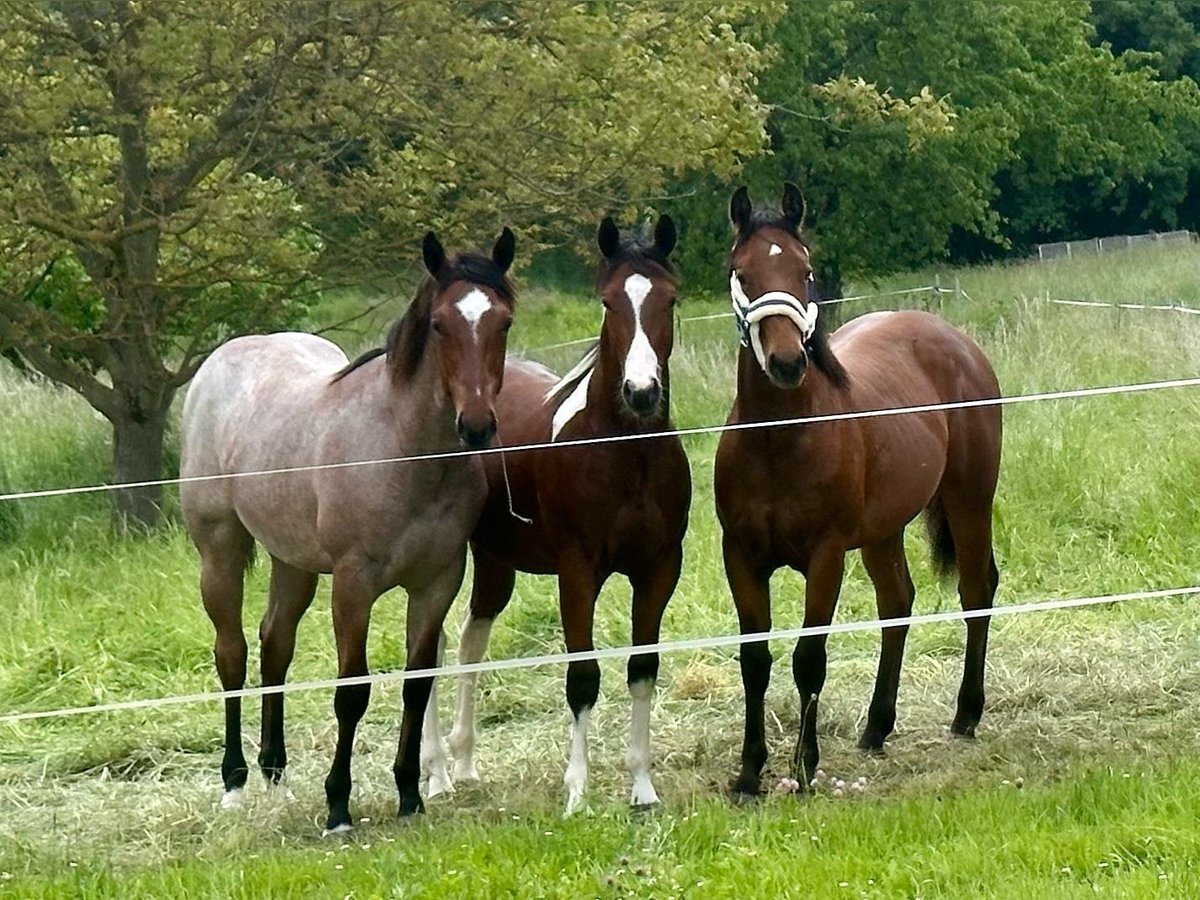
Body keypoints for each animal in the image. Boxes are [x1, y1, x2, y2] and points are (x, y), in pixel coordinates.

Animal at [180, 228, 517, 833]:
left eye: (502, 322)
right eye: (440, 325)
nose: (477, 426)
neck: (404, 451)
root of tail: (222, 360)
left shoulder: (436, 583)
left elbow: (416, 685)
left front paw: (410, 794)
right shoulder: (353, 586)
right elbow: (351, 692)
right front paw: (338, 804)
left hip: (292, 561)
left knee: (275, 644)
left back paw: (274, 772)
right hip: (219, 550)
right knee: (232, 653)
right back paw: (235, 783)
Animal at [420, 216, 691, 814]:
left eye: (670, 298)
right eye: (609, 301)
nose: (641, 392)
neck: (623, 453)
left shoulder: (659, 570)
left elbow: (643, 669)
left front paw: (642, 788)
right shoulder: (578, 572)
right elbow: (582, 678)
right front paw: (576, 795)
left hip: (495, 562)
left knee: (471, 640)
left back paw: (465, 763)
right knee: (433, 644)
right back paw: (438, 774)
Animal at [714, 183, 1002, 798]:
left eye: (805, 271)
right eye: (741, 273)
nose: (787, 362)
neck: (777, 441)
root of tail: (955, 341)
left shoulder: (825, 558)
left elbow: (808, 658)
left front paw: (804, 766)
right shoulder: (742, 558)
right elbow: (754, 660)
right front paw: (749, 771)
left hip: (969, 500)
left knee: (976, 591)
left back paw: (966, 714)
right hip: (882, 531)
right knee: (897, 604)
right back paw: (877, 726)